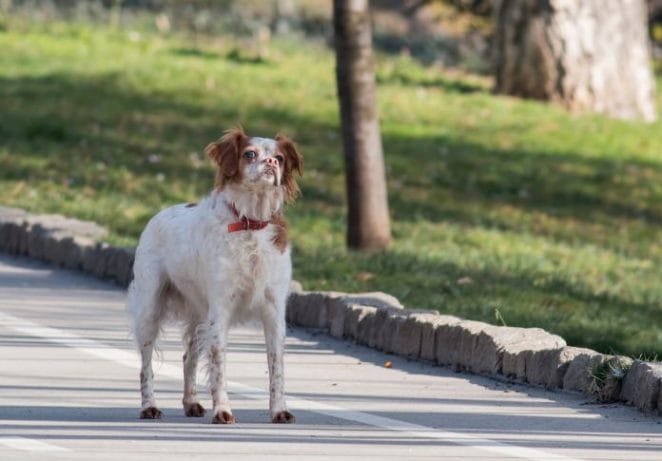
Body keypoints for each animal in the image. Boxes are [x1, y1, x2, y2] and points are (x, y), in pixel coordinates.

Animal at [127, 126, 304, 424]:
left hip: (199, 314)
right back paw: (148, 406)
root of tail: (160, 213)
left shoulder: (274, 311)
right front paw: (222, 410)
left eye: (279, 158)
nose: (270, 163)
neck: (250, 223)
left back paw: (191, 403)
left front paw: (279, 410)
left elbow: (276, 368)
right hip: (151, 307)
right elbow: (219, 365)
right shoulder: (220, 309)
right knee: (145, 365)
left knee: (188, 358)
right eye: (250, 154)